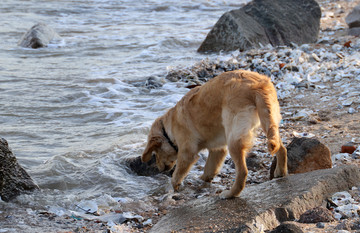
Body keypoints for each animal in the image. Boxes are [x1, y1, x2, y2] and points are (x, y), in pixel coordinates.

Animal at [141, 69, 286, 198]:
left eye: (155, 153)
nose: (160, 169)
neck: (168, 128)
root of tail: (257, 86)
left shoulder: (187, 153)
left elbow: (177, 175)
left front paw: (173, 186)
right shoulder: (218, 149)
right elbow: (209, 168)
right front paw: (202, 180)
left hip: (234, 138)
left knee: (243, 172)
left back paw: (230, 194)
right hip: (268, 121)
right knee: (281, 147)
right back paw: (281, 172)